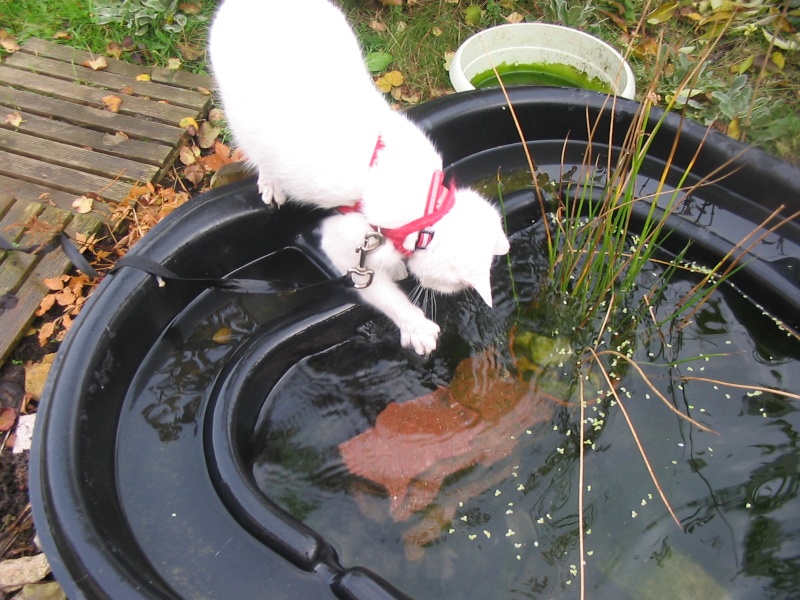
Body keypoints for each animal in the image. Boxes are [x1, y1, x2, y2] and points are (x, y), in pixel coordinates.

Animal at [209, 0, 510, 354]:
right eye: (452, 286)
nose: (436, 293)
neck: (428, 209)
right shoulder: (347, 247)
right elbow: (382, 293)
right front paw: (416, 326)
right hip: (239, 114)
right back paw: (271, 184)